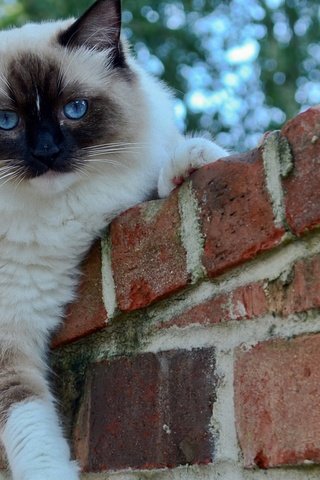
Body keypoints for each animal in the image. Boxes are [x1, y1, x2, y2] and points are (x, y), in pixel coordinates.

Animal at [0, 0, 228, 480]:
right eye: (6, 121)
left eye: (75, 109)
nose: (47, 152)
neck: (50, 220)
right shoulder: (7, 337)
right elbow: (28, 426)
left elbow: (159, 181)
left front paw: (192, 160)